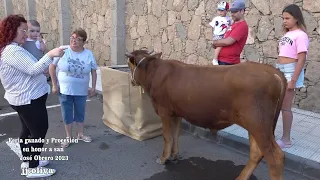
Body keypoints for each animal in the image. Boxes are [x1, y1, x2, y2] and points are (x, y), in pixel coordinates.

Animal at [125, 49, 288, 180]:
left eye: (129, 64)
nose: (131, 81)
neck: (154, 74)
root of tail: (273, 71)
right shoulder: (176, 112)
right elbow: (176, 134)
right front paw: (174, 155)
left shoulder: (164, 111)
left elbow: (167, 136)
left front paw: (164, 158)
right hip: (256, 126)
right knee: (256, 152)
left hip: (259, 125)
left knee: (275, 157)